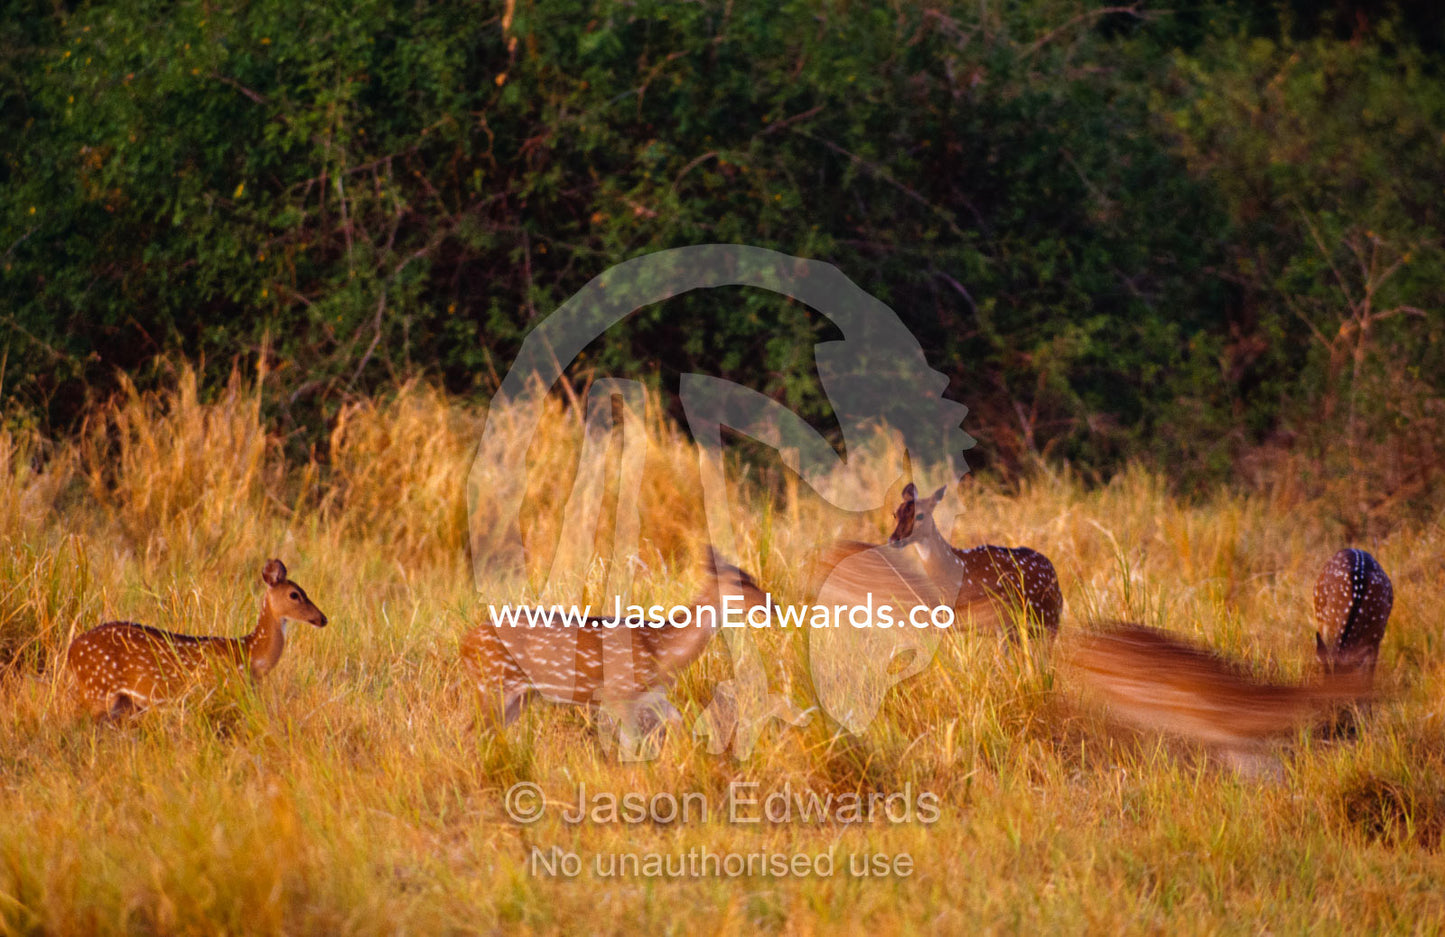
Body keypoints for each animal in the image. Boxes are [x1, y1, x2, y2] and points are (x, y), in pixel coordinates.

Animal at [66, 559, 328, 719]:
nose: (323, 618)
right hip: (98, 691)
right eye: (295, 594)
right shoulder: (215, 690)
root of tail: (71, 651)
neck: (251, 655)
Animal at [460, 550, 769, 755]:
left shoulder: (653, 696)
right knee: (471, 732)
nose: (771, 603)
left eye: (751, 576)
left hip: (520, 696)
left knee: (486, 733)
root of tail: (464, 644)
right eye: (739, 581)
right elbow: (630, 746)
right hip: (491, 685)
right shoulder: (618, 694)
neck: (662, 650)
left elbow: (678, 722)